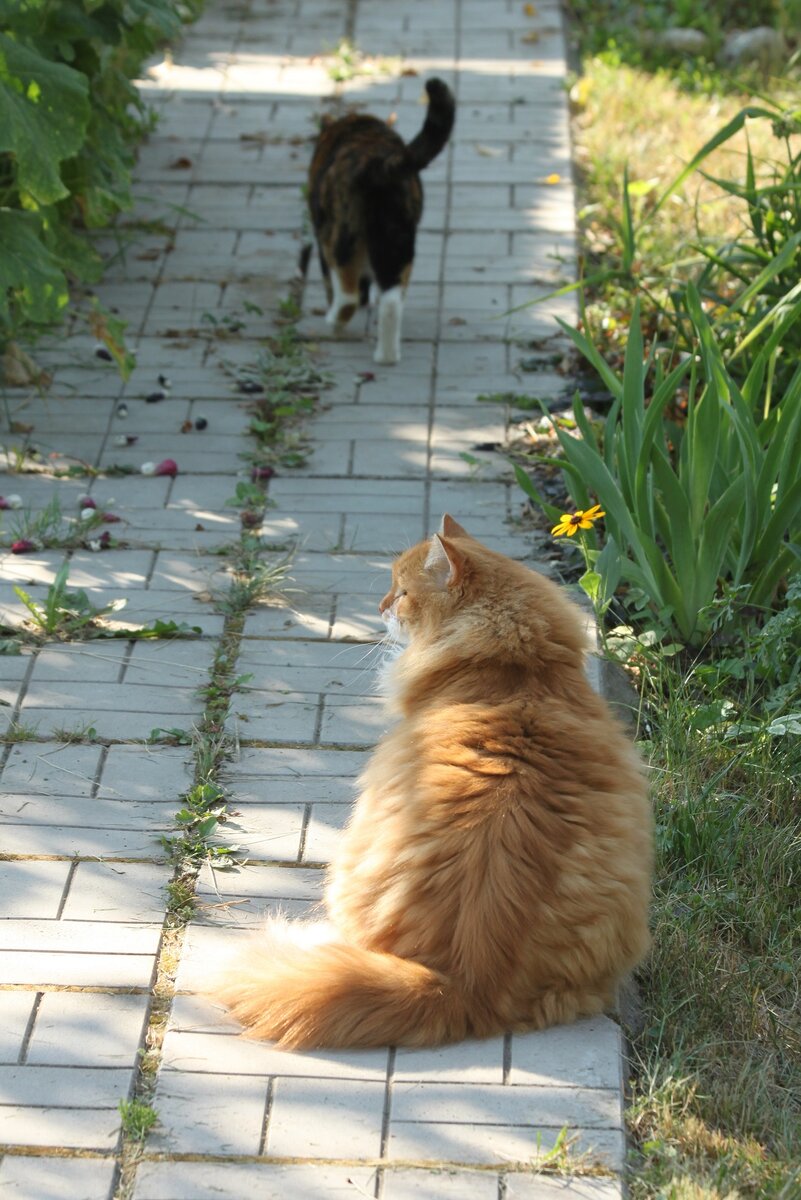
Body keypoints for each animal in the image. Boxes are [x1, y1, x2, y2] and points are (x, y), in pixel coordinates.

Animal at [306, 77, 453, 362]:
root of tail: (378, 162)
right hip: (399, 239)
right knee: (392, 300)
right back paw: (387, 356)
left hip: (340, 236)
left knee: (347, 294)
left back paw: (335, 321)